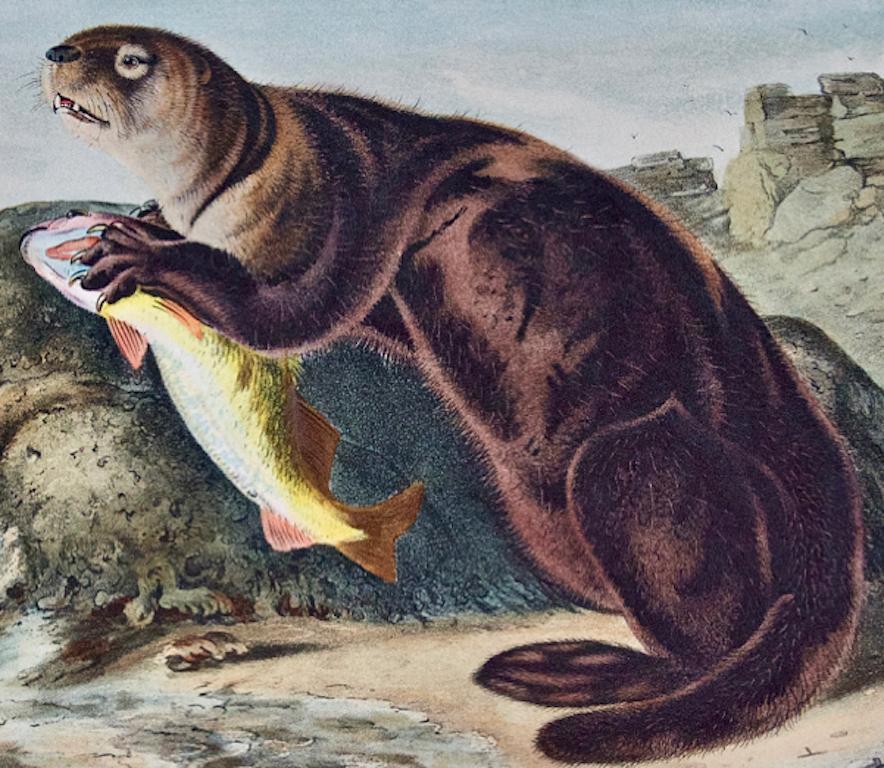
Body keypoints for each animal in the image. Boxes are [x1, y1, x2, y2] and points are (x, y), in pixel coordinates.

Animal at [41, 26, 864, 764]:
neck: (275, 157)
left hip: (635, 458)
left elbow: (289, 312)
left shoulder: (346, 205)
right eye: (82, 37)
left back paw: (575, 671)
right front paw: (145, 221)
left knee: (705, 630)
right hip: (541, 524)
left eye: (132, 59)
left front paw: (140, 250)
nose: (55, 52)